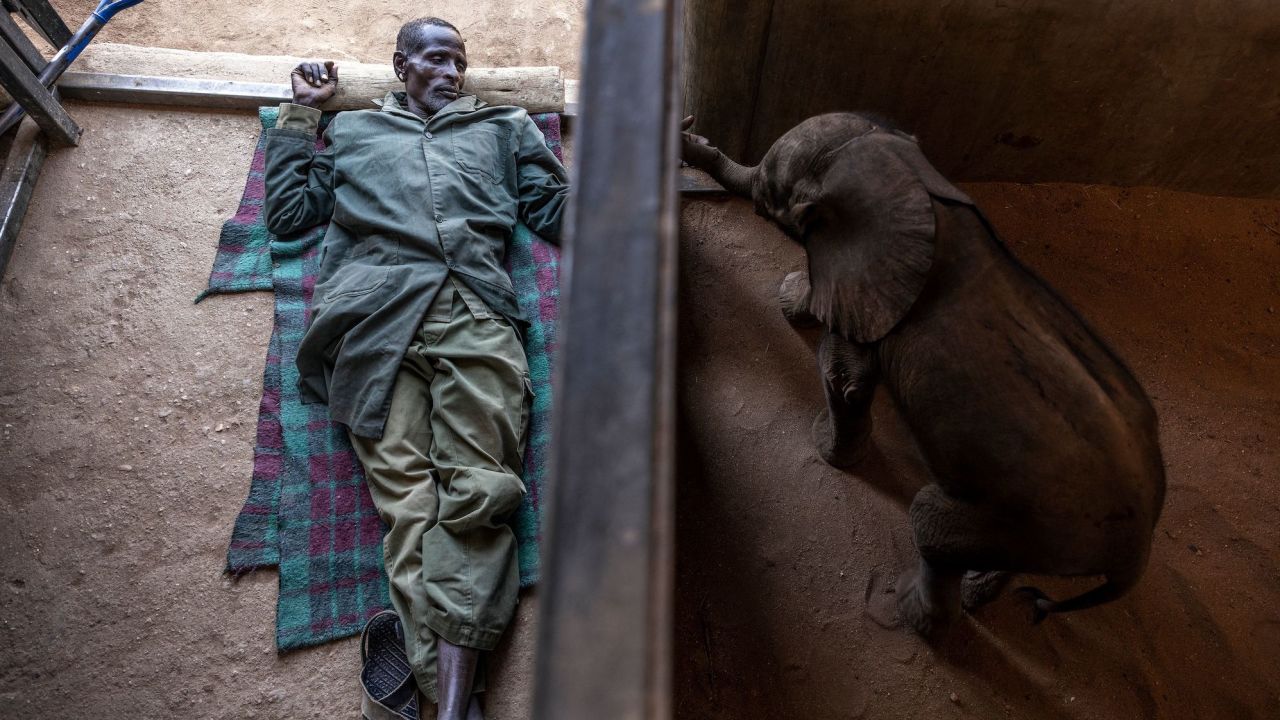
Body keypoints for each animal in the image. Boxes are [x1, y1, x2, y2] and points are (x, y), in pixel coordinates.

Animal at [686, 113, 1167, 632]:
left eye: (770, 194)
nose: (691, 136)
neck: (915, 184)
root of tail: (1136, 554)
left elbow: (844, 376)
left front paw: (828, 451)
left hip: (1026, 515)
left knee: (931, 525)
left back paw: (908, 610)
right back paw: (977, 593)